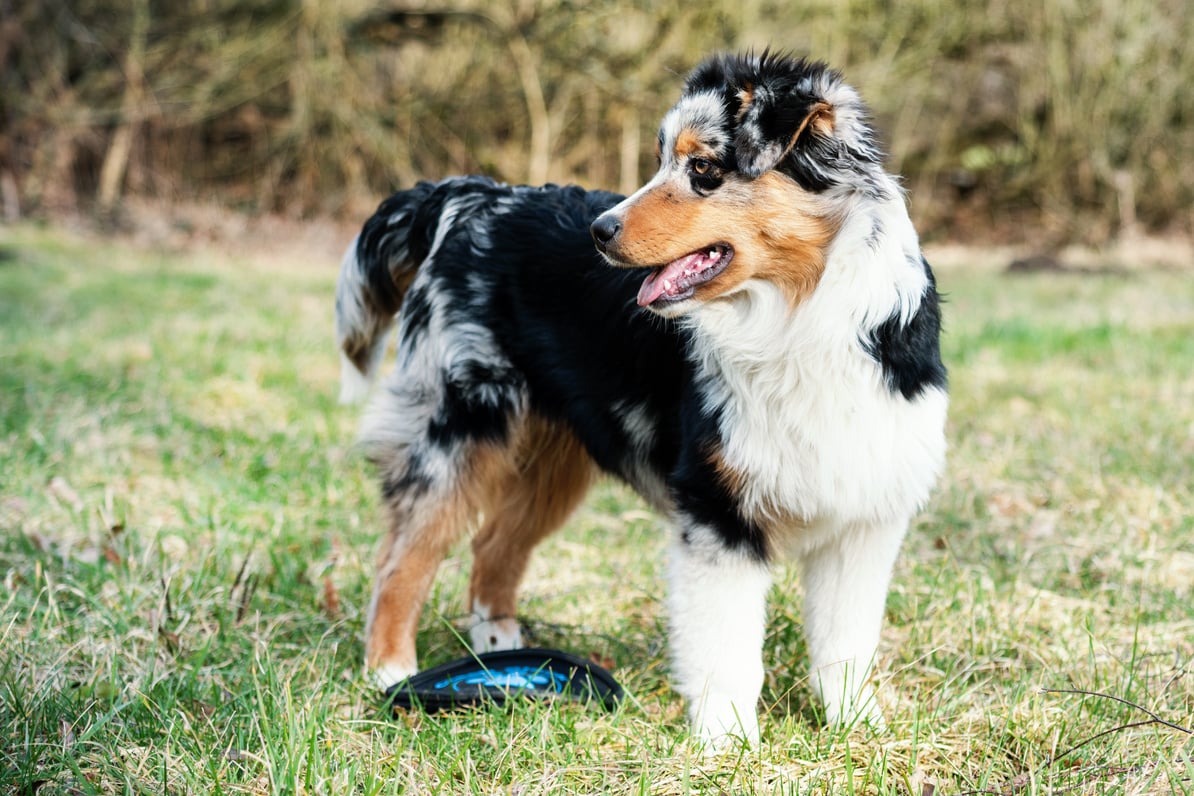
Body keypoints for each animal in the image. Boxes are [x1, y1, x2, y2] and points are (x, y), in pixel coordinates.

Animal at [339, 52, 950, 744]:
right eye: (661, 160)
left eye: (703, 169)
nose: (599, 231)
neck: (799, 317)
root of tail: (471, 196)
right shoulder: (717, 509)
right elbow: (728, 643)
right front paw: (728, 740)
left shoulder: (862, 512)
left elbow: (846, 639)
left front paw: (854, 727)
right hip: (458, 432)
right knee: (401, 562)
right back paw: (392, 674)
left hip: (555, 461)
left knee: (492, 546)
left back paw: (504, 662)